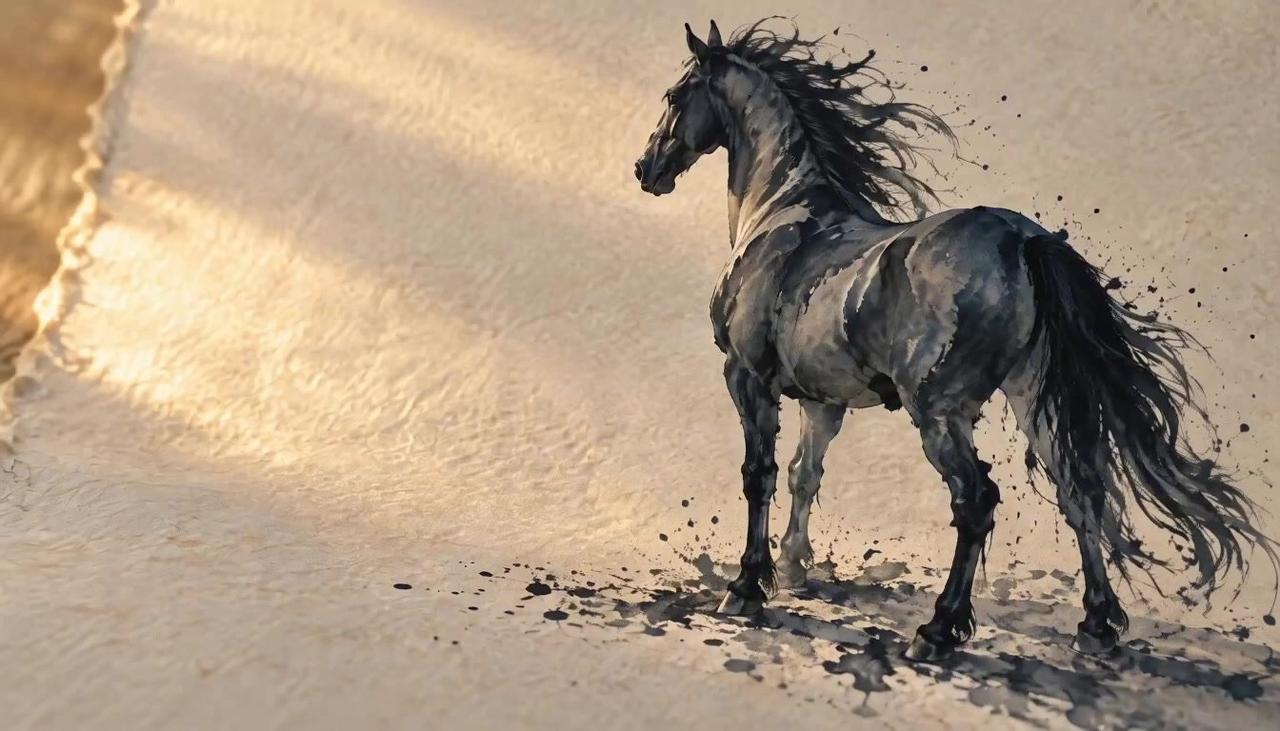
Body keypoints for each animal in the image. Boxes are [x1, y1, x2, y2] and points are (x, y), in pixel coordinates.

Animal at [633, 19, 1275, 661]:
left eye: (675, 96)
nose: (646, 169)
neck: (784, 215)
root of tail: (1023, 240)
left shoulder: (747, 378)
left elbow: (758, 474)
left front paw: (747, 587)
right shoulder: (823, 402)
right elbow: (803, 473)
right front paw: (793, 569)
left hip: (941, 414)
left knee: (976, 501)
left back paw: (940, 628)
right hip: (1034, 404)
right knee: (1079, 491)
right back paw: (1097, 624)